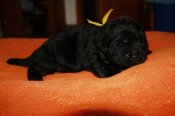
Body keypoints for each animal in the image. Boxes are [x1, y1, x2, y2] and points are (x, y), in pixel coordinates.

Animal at [7, 16, 151, 80]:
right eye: (121, 43)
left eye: (141, 43)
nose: (136, 53)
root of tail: (35, 54)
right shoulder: (92, 53)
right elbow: (100, 64)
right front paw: (110, 73)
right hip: (48, 63)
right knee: (33, 67)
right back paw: (34, 77)